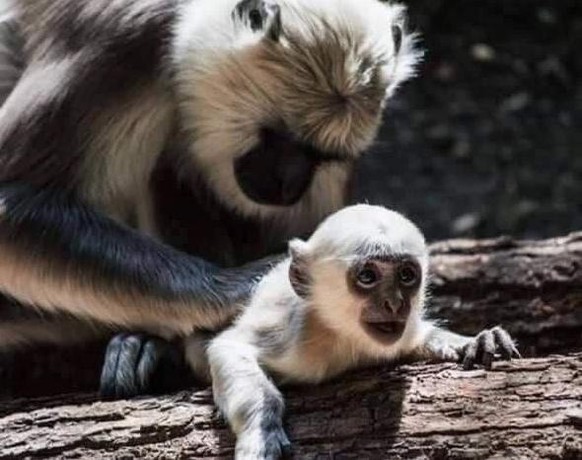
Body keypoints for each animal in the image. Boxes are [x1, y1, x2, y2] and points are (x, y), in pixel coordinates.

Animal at [0, 0, 420, 396]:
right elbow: (12, 208)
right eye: (277, 139)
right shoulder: (123, 42)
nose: (288, 187)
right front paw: (248, 287)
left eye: (322, 157)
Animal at [187, 206, 520, 460]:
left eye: (406, 275)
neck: (344, 336)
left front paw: (474, 342)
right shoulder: (295, 335)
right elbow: (228, 347)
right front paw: (260, 431)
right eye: (368, 276)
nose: (394, 303)